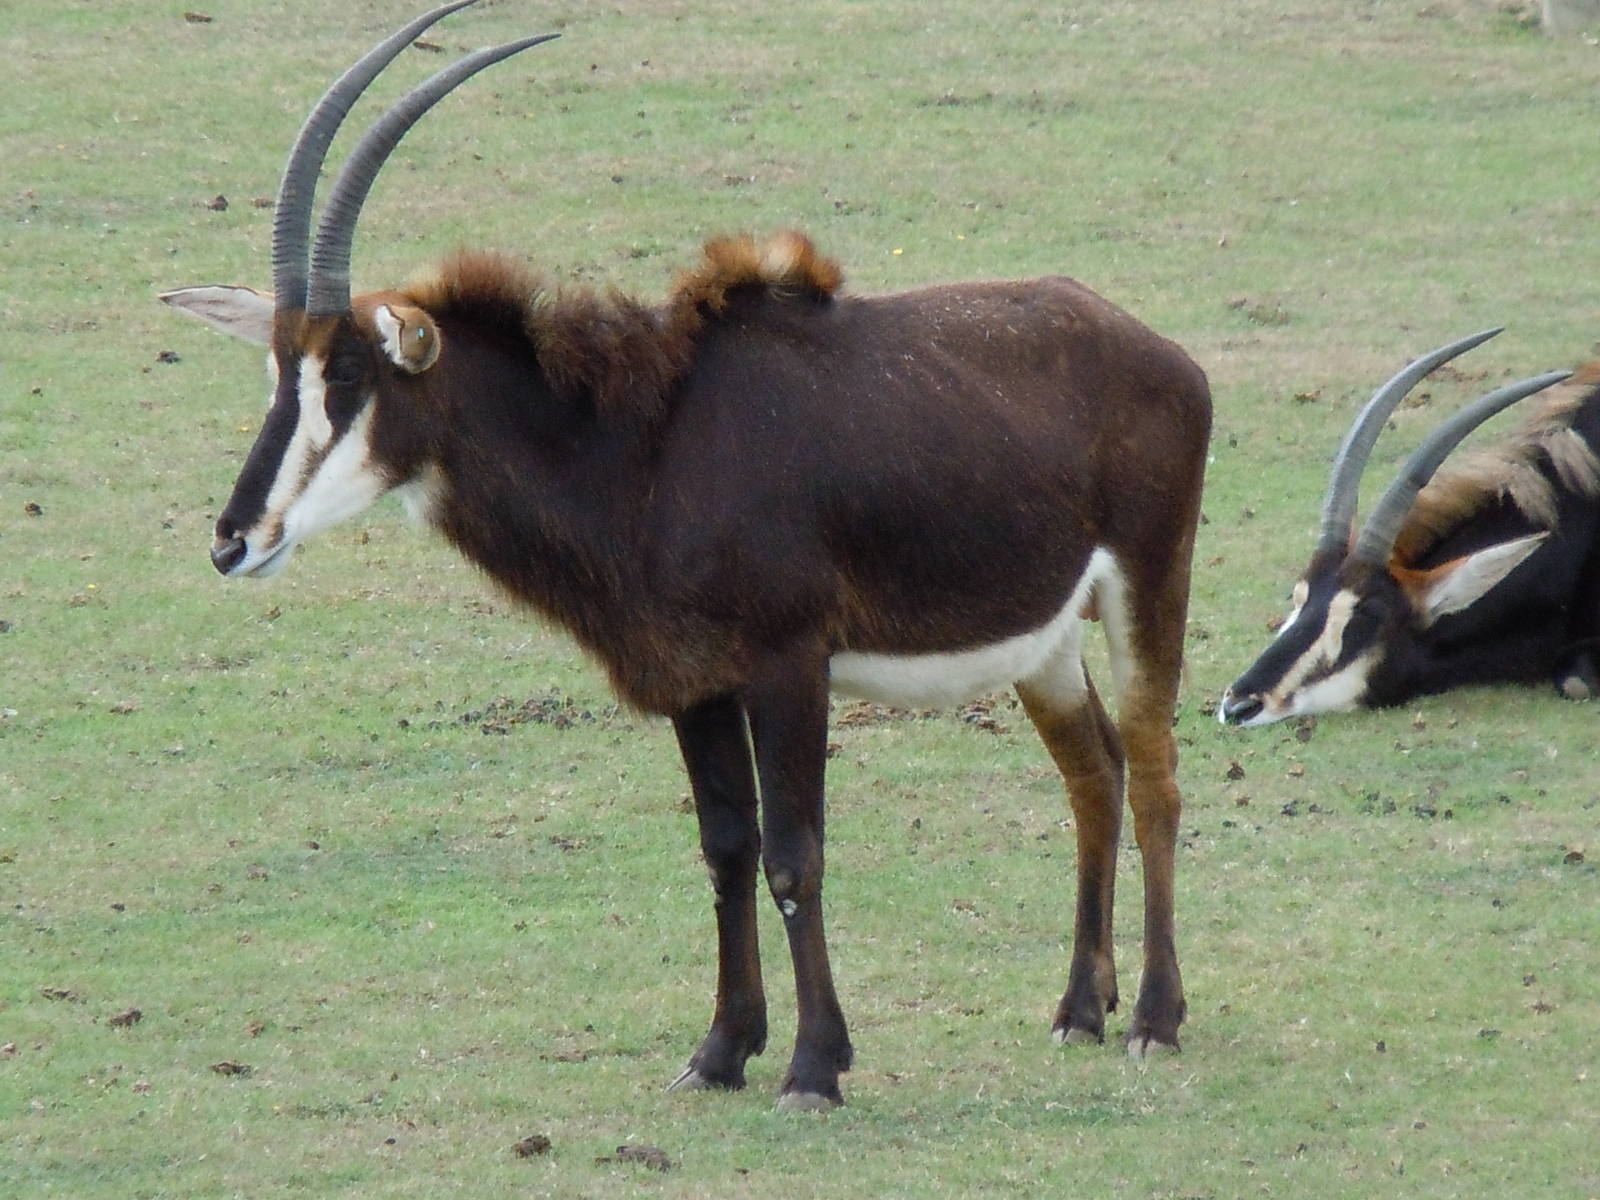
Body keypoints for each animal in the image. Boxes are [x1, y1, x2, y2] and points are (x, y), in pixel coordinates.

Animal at [161, 2, 1212, 1110]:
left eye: (350, 375)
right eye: (280, 372)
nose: (235, 540)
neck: (641, 443)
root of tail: (1163, 355)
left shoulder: (788, 669)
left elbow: (794, 856)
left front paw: (814, 1066)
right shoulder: (696, 684)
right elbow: (725, 849)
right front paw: (720, 1051)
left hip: (1149, 584)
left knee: (1154, 772)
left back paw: (1153, 1018)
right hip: (1042, 644)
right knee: (1092, 771)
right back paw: (1079, 1010)